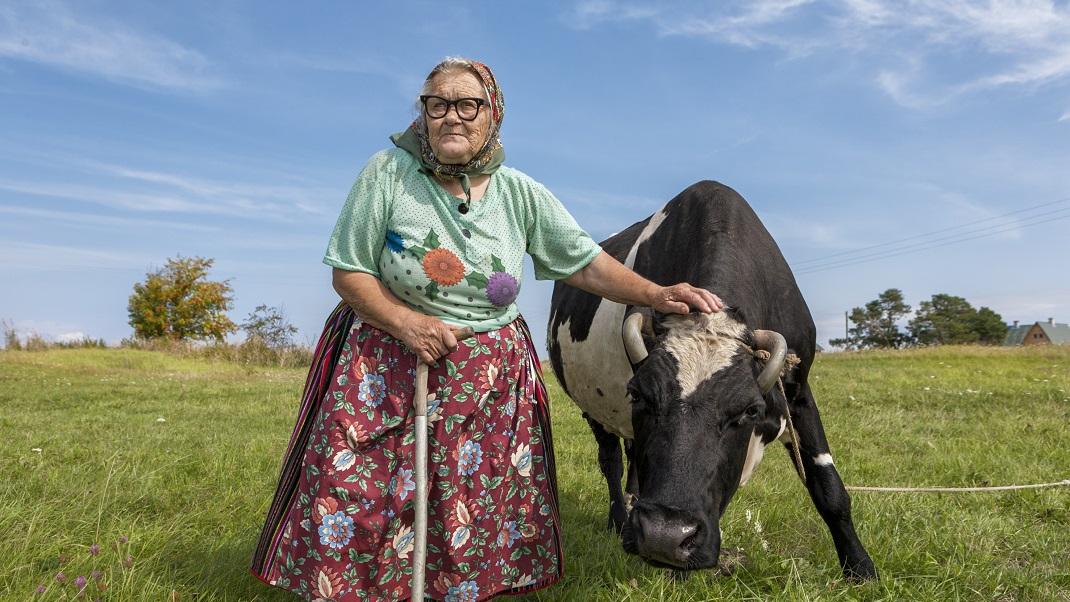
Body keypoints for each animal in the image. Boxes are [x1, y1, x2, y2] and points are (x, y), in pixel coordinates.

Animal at [547, 178, 873, 577]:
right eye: (639, 394)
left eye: (749, 411)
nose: (664, 535)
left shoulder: (798, 391)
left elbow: (828, 486)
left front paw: (860, 569)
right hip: (591, 407)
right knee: (611, 460)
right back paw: (619, 520)